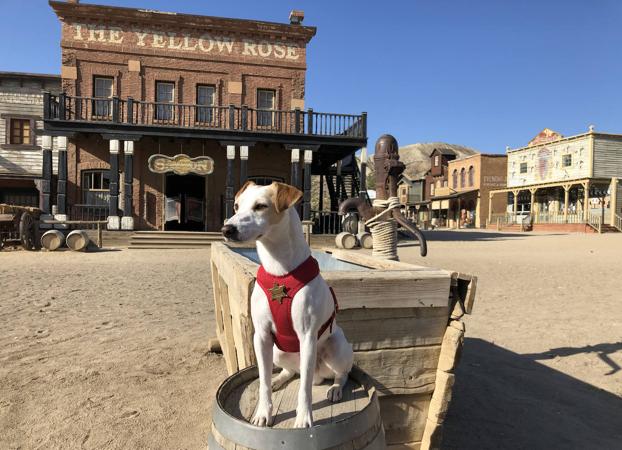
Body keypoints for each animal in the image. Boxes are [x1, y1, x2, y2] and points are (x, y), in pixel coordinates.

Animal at [222, 180, 354, 428]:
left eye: (260, 206)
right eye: (236, 206)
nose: (227, 229)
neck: (280, 272)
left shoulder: (307, 336)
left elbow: (304, 390)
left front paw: (303, 418)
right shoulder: (261, 336)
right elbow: (263, 381)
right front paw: (263, 412)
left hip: (336, 347)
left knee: (339, 375)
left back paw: (334, 389)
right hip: (277, 351)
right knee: (291, 372)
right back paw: (279, 379)